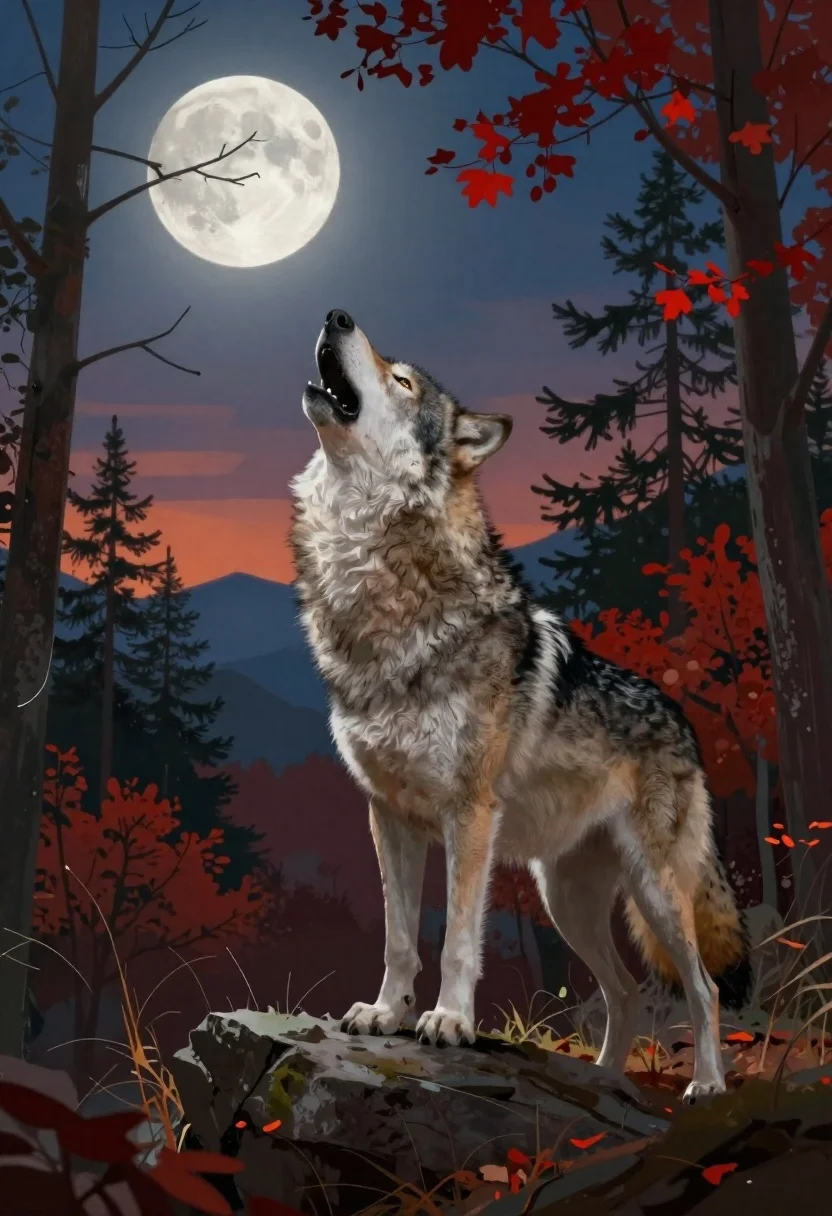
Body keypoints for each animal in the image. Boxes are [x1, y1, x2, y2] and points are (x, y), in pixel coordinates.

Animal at [289, 309, 751, 1104]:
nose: (336, 315)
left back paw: (708, 1087)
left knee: (703, 987)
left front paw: (447, 1021)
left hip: (655, 892)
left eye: (401, 379)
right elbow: (400, 937)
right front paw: (385, 1013)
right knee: (625, 993)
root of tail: (682, 718)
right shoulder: (389, 815)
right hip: (566, 900)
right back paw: (603, 1083)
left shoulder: (468, 815)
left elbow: (457, 941)